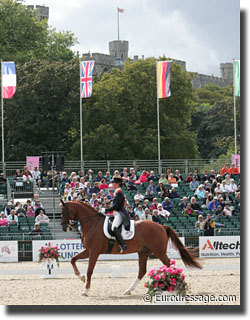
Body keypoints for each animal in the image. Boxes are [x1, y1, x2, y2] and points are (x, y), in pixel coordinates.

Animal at [60, 201, 201, 296]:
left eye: (64, 212)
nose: (64, 228)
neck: (92, 224)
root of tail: (161, 226)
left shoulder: (94, 251)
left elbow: (89, 270)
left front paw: (85, 290)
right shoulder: (88, 251)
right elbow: (73, 259)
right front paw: (81, 277)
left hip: (158, 251)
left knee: (169, 265)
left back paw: (177, 286)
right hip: (144, 252)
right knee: (142, 271)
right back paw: (129, 290)